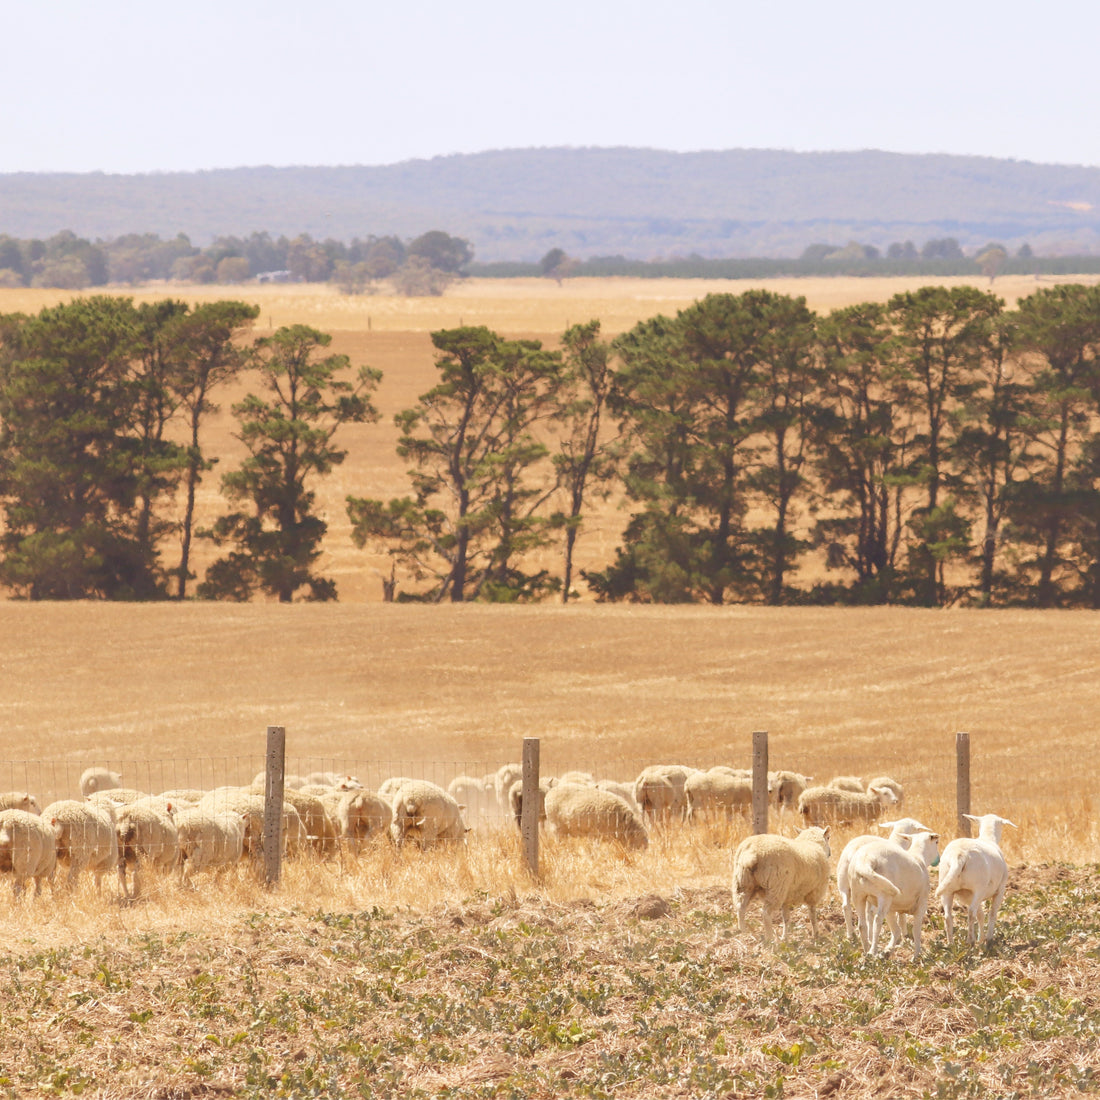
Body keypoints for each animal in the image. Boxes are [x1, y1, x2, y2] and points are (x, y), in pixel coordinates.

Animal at [848, 831, 941, 960]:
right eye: (936, 842)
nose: (939, 859)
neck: (919, 858)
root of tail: (865, 861)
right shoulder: (922, 903)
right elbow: (916, 930)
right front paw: (916, 955)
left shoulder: (893, 909)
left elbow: (897, 929)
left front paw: (888, 950)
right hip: (884, 895)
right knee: (877, 921)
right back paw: (873, 951)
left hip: (858, 894)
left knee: (862, 925)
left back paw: (867, 951)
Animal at [936, 813, 1016, 947]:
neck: (988, 838)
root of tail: (959, 854)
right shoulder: (1000, 890)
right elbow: (992, 913)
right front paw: (988, 939)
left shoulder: (968, 895)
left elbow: (981, 914)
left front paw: (981, 938)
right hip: (978, 888)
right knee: (971, 913)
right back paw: (970, 941)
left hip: (947, 889)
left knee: (948, 917)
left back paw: (951, 944)